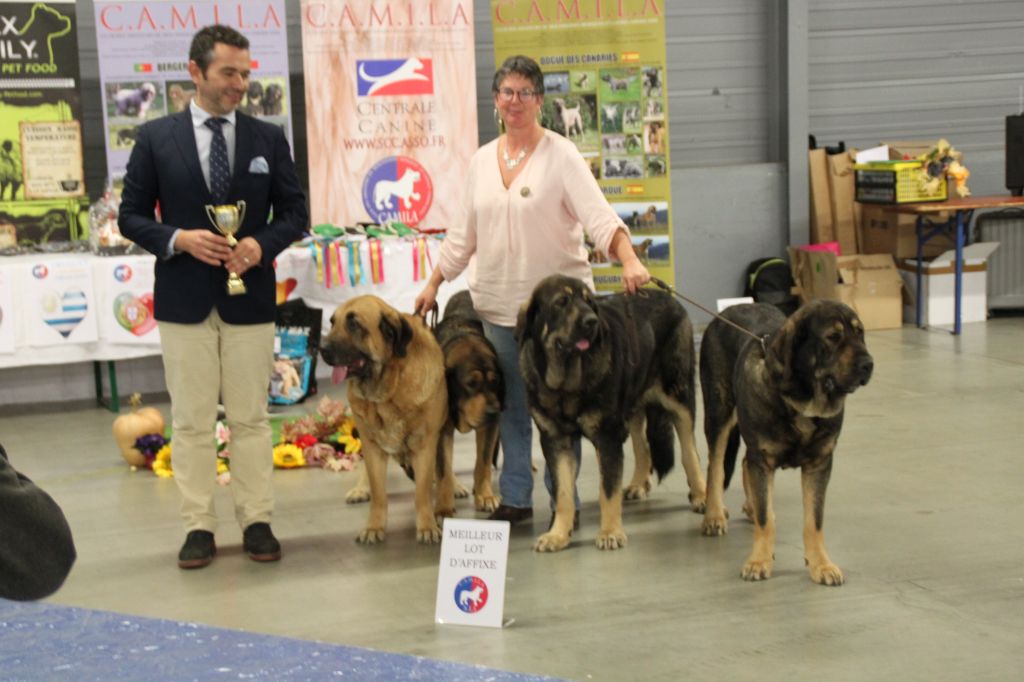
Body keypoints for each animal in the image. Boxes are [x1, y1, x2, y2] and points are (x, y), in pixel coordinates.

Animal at [319, 292, 448, 540]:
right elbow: (379, 492)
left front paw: (427, 526)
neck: (387, 392)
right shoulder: (372, 447)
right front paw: (374, 527)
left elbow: (422, 491)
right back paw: (360, 488)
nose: (321, 348)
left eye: (354, 324)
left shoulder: (425, 445)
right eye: (332, 322)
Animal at [432, 288, 503, 509]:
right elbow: (444, 470)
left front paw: (485, 495)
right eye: (470, 384)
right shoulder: (439, 430)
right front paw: (444, 506)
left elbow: (483, 463)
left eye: (495, 381)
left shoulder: (490, 427)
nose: (493, 411)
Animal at [520, 274, 704, 548]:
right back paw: (638, 484)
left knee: (690, 451)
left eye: (588, 301)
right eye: (561, 302)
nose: (591, 321)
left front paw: (610, 533)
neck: (568, 385)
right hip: (632, 405)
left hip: (678, 396)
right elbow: (563, 492)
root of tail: (669, 297)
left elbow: (608, 489)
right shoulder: (556, 441)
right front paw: (558, 534)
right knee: (641, 446)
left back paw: (702, 495)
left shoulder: (607, 437)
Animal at [700, 301, 876, 581]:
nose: (868, 364)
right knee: (716, 465)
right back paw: (714, 515)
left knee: (745, 463)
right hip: (719, 411)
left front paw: (821, 564)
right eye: (833, 337)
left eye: (860, 333)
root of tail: (726, 311)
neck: (801, 400)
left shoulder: (819, 464)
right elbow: (765, 519)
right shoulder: (762, 458)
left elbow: (814, 520)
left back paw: (750, 505)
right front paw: (759, 561)